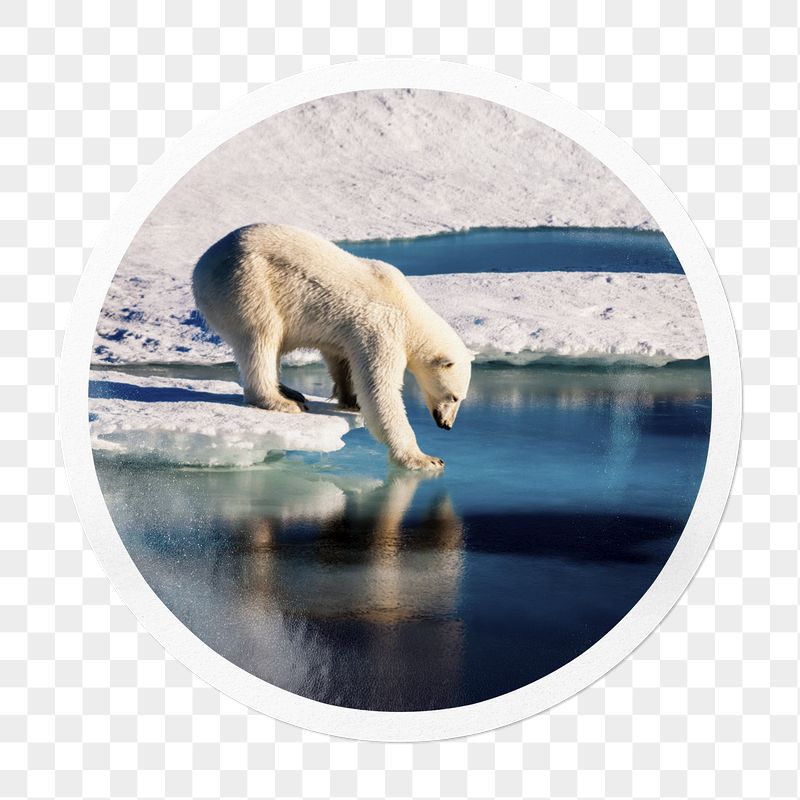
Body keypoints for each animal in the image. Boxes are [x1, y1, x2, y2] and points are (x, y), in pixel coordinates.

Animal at [192, 224, 473, 470]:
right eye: (454, 397)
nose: (446, 425)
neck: (408, 309)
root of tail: (201, 267)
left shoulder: (349, 333)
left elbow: (341, 359)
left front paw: (350, 400)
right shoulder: (382, 330)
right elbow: (380, 390)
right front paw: (425, 459)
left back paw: (290, 391)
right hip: (248, 285)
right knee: (261, 337)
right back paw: (281, 401)